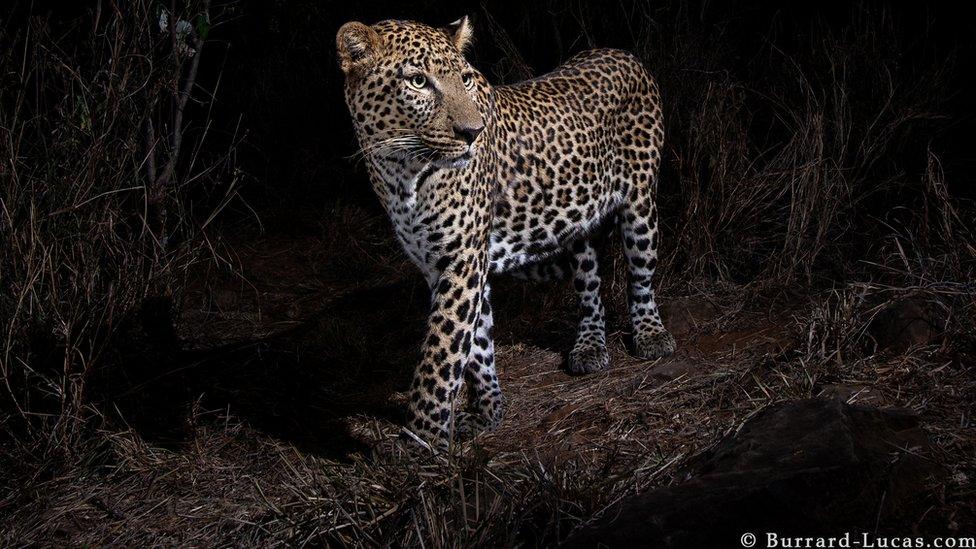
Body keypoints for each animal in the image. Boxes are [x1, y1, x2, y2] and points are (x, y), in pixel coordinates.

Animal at [336, 16, 672, 450]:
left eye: (463, 78)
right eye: (418, 81)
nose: (472, 132)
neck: (399, 172)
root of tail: (623, 53)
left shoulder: (461, 260)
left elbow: (440, 354)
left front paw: (420, 442)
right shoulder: (443, 264)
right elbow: (475, 344)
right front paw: (487, 411)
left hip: (640, 203)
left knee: (641, 274)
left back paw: (650, 334)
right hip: (577, 218)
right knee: (589, 282)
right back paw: (589, 345)